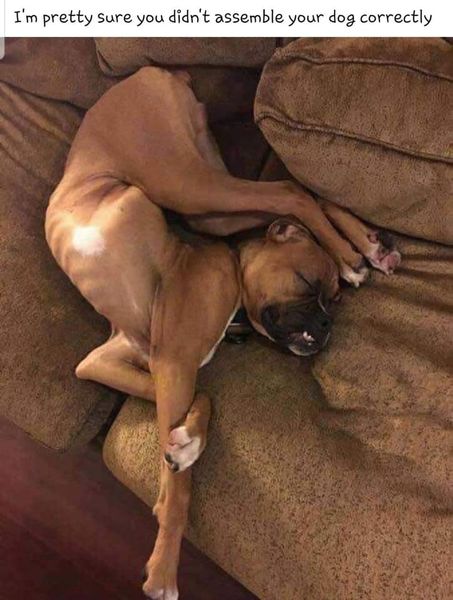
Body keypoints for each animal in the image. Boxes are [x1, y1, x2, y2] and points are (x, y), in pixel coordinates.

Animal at [45, 67, 400, 599]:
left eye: (332, 302)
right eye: (309, 286)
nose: (326, 324)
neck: (229, 267)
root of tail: (149, 72)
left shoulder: (162, 363)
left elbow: (191, 435)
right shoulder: (131, 362)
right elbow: (196, 420)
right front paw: (166, 554)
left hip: (193, 190)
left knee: (289, 190)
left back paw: (361, 253)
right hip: (194, 193)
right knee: (291, 191)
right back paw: (362, 251)